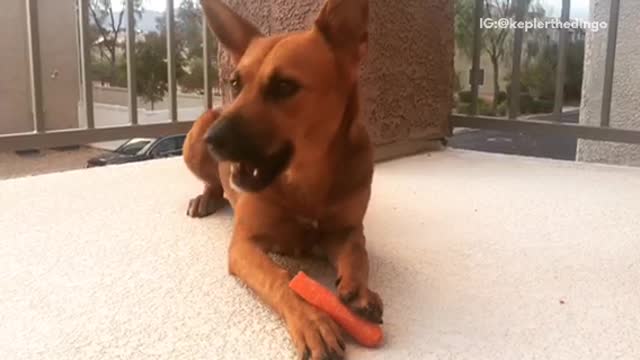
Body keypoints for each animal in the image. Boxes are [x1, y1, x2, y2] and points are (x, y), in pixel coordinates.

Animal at [181, 0, 380, 358]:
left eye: (284, 86)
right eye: (235, 83)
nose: (212, 140)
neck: (306, 179)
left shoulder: (346, 230)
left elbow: (358, 253)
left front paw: (358, 288)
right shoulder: (243, 246)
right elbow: (282, 278)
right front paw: (311, 319)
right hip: (194, 139)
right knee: (212, 182)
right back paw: (206, 196)